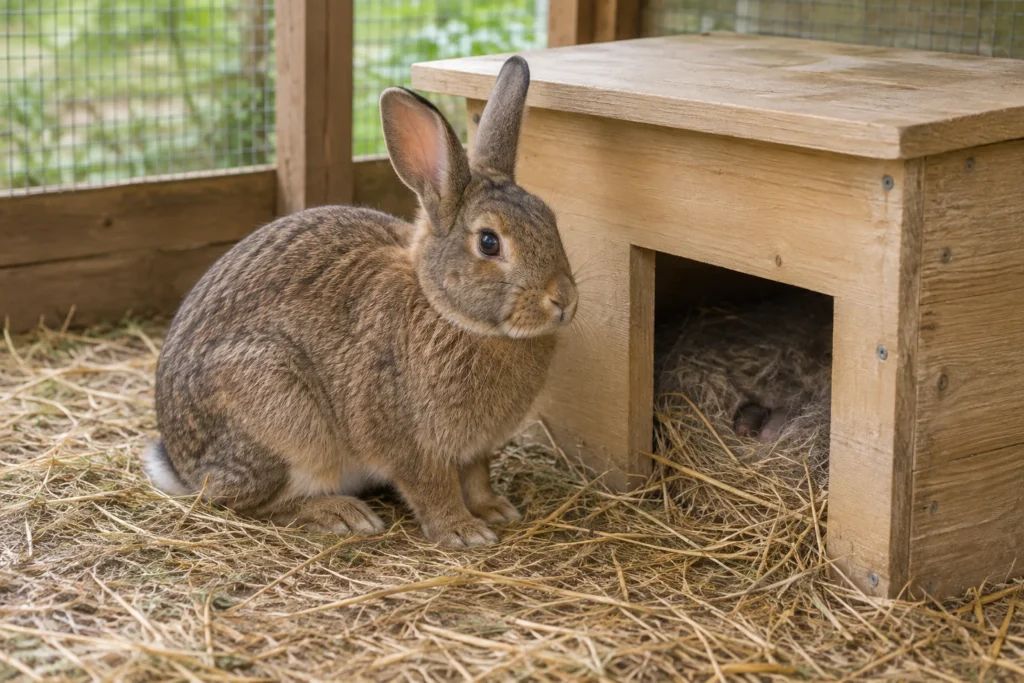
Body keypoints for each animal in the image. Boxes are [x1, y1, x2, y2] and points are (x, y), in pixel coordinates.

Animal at [142, 55, 578, 548]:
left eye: (549, 219)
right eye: (489, 243)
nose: (563, 299)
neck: (445, 310)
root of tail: (181, 465)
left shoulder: (475, 450)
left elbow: (478, 478)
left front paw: (496, 510)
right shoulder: (408, 442)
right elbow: (433, 488)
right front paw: (463, 532)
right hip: (282, 417)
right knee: (246, 502)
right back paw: (341, 514)